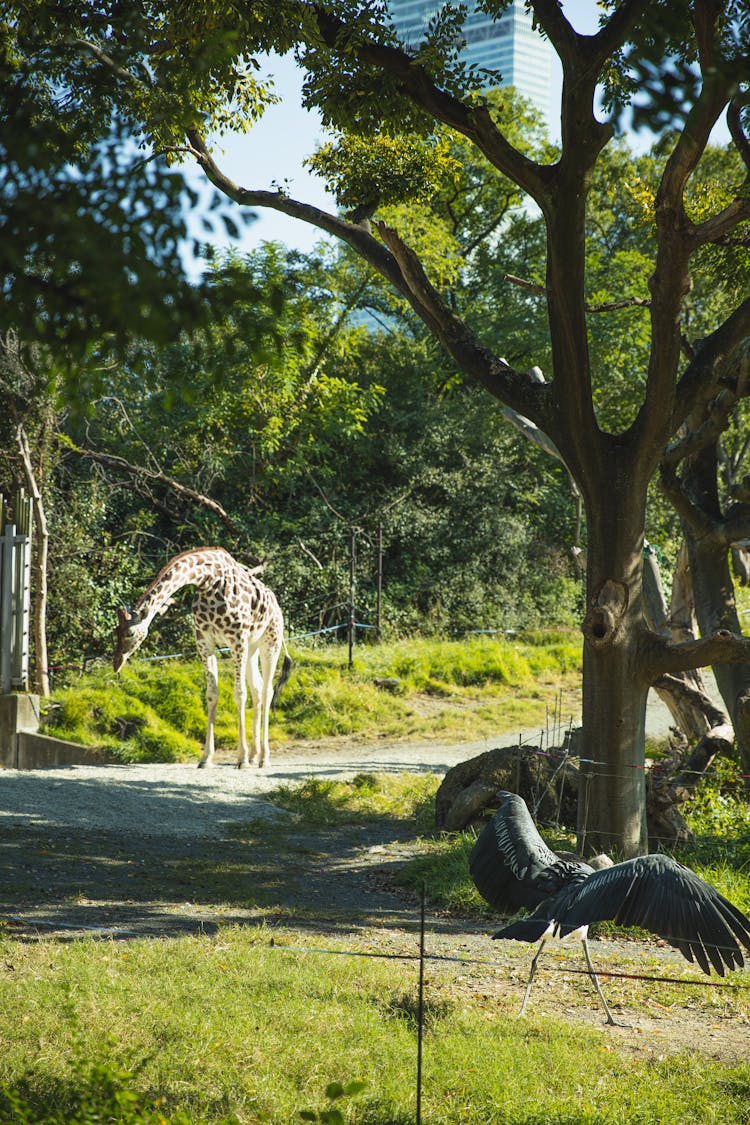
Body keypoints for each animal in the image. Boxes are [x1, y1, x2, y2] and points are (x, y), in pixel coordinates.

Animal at [113, 549, 292, 769]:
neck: (208, 580)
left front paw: (240, 759)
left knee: (267, 691)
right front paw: (206, 758)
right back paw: (254, 755)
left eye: (129, 633)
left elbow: (239, 693)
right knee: (257, 689)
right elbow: (212, 694)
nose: (116, 663)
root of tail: (277, 605)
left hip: (270, 642)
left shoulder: (237, 640)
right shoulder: (204, 642)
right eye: (115, 631)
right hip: (252, 648)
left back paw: (263, 758)